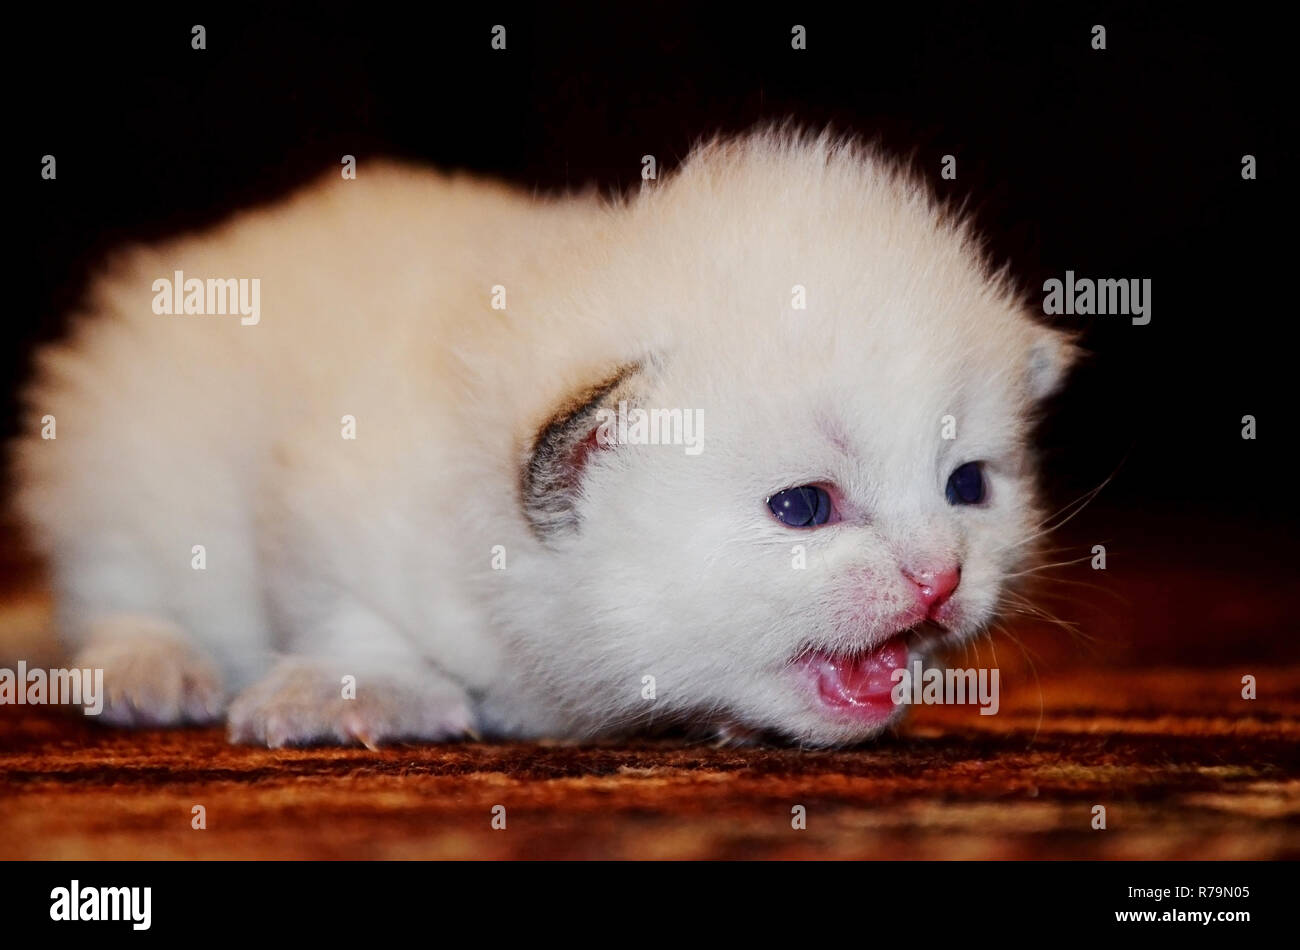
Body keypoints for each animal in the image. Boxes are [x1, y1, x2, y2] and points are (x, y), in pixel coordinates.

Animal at [10, 128, 1071, 748]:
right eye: (803, 507)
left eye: (968, 487)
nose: (941, 579)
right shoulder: (330, 494)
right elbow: (343, 610)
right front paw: (363, 693)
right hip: (125, 452)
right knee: (116, 585)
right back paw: (149, 664)